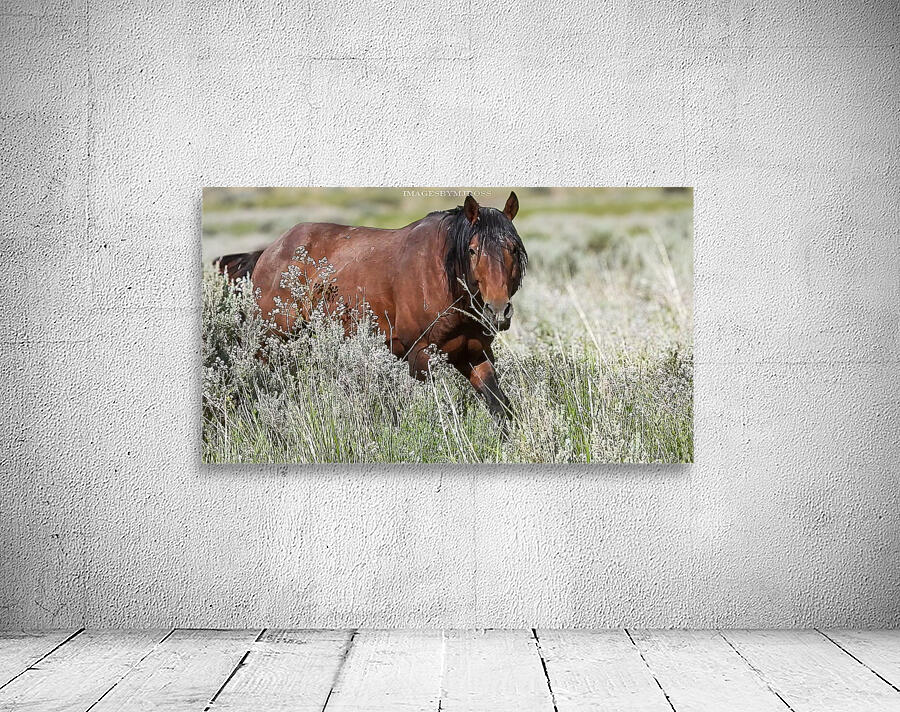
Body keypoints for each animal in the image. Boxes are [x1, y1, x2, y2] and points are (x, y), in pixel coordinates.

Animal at [215, 192, 527, 424]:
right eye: (472, 250)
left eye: (513, 248)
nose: (498, 311)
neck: (443, 278)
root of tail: (268, 251)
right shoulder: (420, 357)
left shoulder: (475, 354)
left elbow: (500, 408)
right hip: (270, 341)